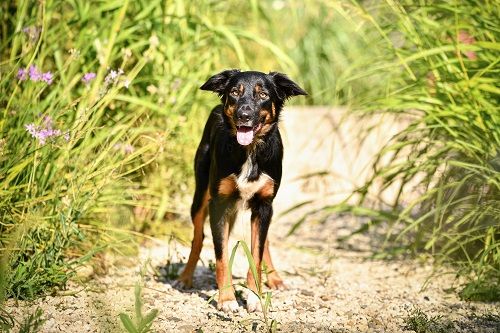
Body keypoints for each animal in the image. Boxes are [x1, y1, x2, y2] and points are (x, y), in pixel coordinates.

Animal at [178, 69, 306, 312]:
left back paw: (274, 277)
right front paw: (227, 299)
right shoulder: (218, 203)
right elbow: (221, 256)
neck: (250, 151)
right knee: (198, 237)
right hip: (200, 197)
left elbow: (256, 253)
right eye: (235, 92)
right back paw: (185, 277)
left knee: (264, 242)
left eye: (263, 94)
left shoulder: (264, 206)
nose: (243, 115)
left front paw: (255, 296)